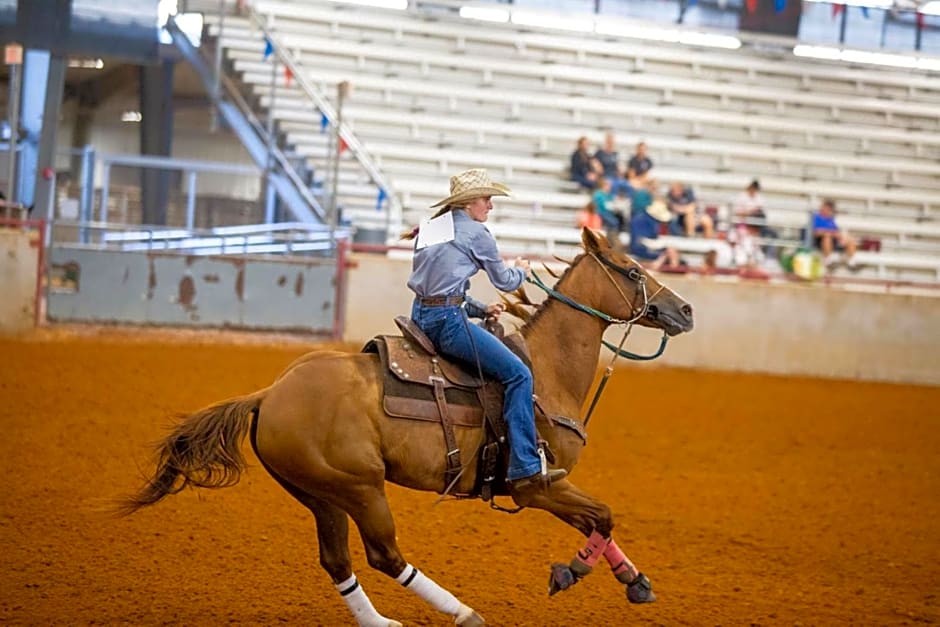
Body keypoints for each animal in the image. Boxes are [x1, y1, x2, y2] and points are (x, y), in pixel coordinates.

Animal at [121, 228, 692, 624]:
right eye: (632, 270)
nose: (684, 309)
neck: (546, 373)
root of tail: (269, 394)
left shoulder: (551, 486)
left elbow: (600, 520)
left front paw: (634, 580)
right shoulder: (536, 485)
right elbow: (604, 516)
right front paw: (571, 571)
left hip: (319, 494)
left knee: (337, 560)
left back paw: (383, 621)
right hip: (361, 487)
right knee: (384, 554)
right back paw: (463, 612)